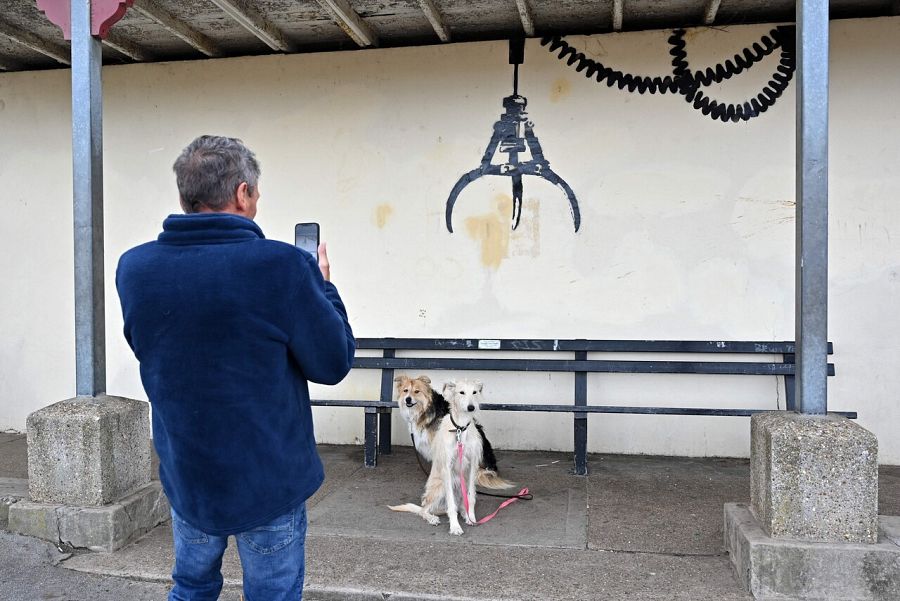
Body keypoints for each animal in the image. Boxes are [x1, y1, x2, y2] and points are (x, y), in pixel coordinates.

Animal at [386, 380, 486, 536]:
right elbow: (451, 504)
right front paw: (455, 527)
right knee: (424, 510)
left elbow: (470, 497)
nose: (471, 407)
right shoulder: (447, 468)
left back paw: (464, 513)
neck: (460, 428)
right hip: (439, 487)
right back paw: (432, 518)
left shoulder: (472, 466)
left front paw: (471, 517)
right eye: (461, 392)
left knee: (457, 505)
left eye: (474, 392)